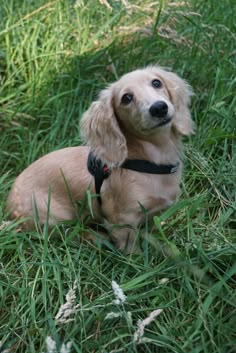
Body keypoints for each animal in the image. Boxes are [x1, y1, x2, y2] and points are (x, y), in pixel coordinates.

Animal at [6, 66, 194, 253]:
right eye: (126, 98)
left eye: (157, 83)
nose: (159, 108)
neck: (151, 164)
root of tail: (9, 206)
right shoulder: (121, 221)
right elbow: (132, 249)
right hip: (53, 215)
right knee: (67, 234)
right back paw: (97, 238)